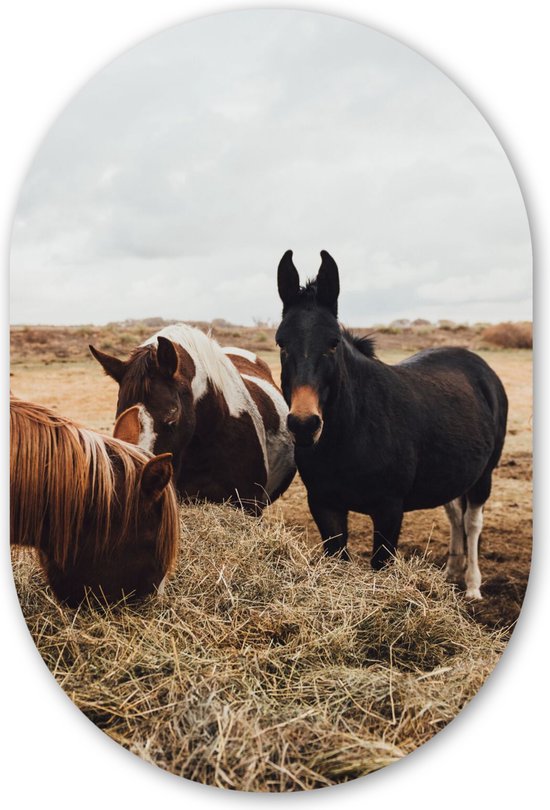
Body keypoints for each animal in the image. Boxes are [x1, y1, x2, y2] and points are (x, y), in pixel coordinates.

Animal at [276, 249, 508, 596]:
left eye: (333, 343)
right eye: (281, 343)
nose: (304, 424)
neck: (353, 432)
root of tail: (481, 368)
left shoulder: (389, 510)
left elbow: (381, 564)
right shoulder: (324, 504)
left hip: (484, 475)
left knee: (472, 522)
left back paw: (472, 586)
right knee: (455, 517)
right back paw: (451, 573)